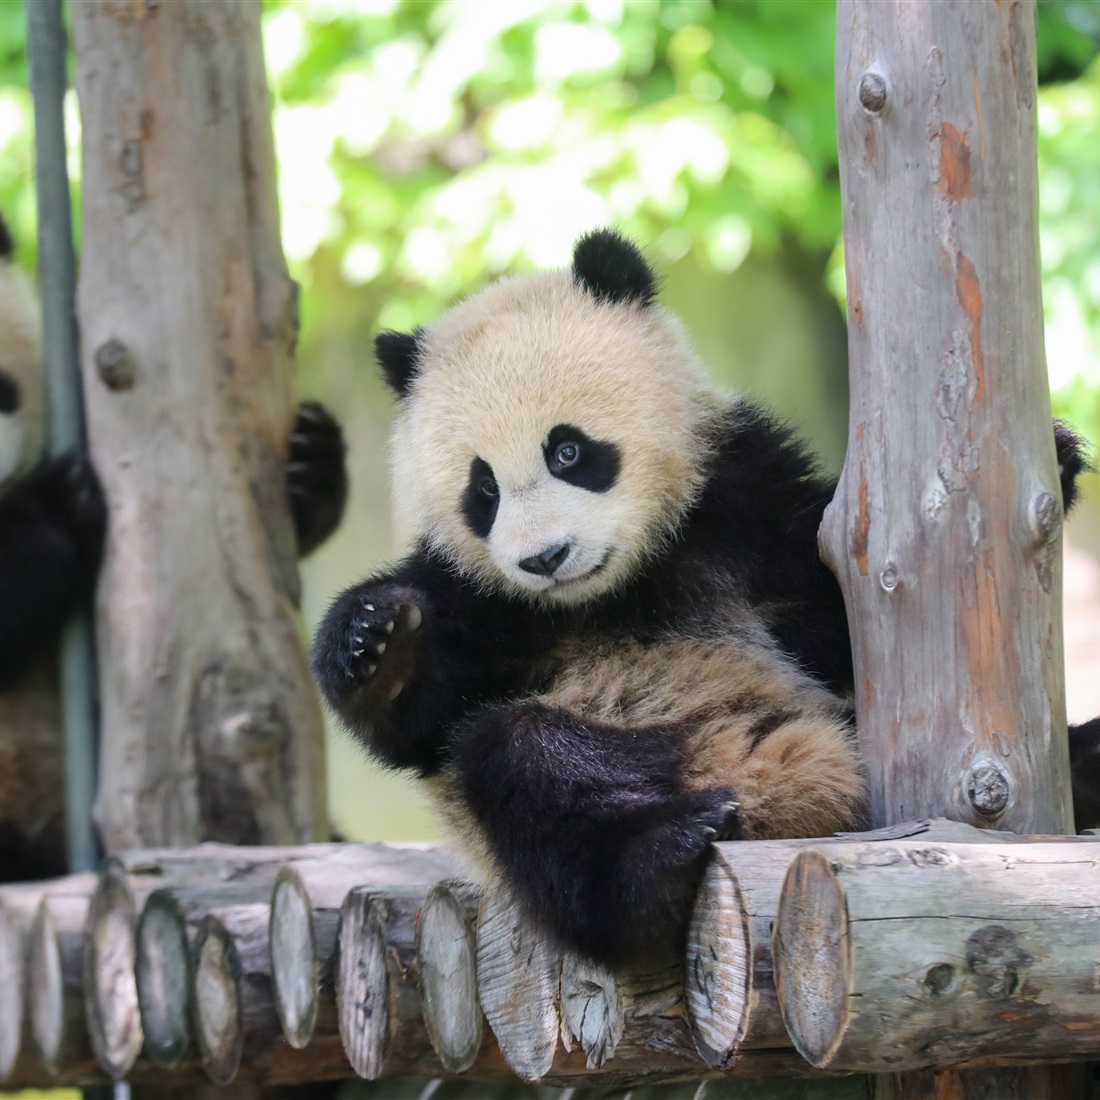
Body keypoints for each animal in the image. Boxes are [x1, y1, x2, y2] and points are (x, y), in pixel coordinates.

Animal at [312, 228, 1095, 969]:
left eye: (567, 451)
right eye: (484, 490)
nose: (544, 559)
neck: (614, 588)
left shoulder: (737, 496)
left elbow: (834, 614)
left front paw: (1059, 454)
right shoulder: (485, 603)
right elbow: (420, 719)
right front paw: (374, 642)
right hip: (630, 749)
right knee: (518, 764)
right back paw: (660, 862)